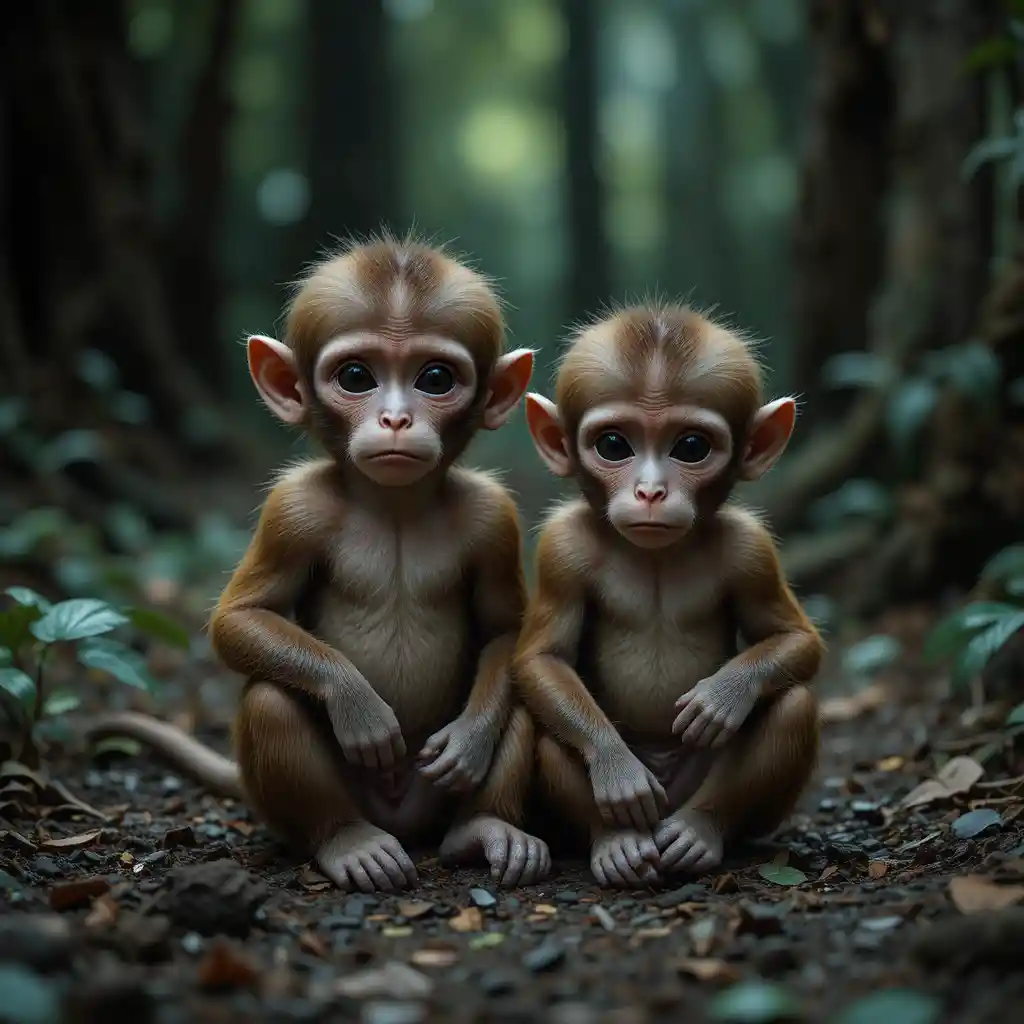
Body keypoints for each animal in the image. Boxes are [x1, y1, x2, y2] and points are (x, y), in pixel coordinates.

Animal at [90, 235, 551, 892]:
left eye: (436, 379)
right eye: (356, 376)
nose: (395, 419)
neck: (394, 505)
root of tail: (401, 817)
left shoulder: (494, 518)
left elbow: (502, 631)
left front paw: (470, 738)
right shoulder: (293, 508)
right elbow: (240, 619)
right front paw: (353, 701)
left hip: (430, 795)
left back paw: (483, 827)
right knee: (270, 700)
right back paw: (347, 840)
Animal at [512, 302, 823, 889]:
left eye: (691, 447)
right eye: (614, 445)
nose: (651, 491)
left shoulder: (751, 548)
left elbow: (795, 639)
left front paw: (724, 693)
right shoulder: (562, 547)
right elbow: (543, 659)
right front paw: (614, 765)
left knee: (793, 704)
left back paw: (699, 831)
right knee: (548, 729)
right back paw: (617, 840)